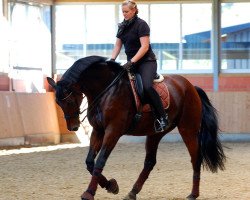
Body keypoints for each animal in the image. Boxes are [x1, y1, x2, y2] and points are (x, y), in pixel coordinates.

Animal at [47, 55, 227, 200]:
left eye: (70, 100)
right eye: (58, 103)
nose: (73, 127)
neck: (106, 89)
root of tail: (191, 87)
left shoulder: (113, 131)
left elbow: (100, 160)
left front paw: (89, 193)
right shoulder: (98, 131)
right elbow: (90, 162)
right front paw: (111, 186)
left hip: (187, 129)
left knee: (195, 158)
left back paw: (193, 194)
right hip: (155, 133)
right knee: (149, 162)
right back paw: (133, 192)